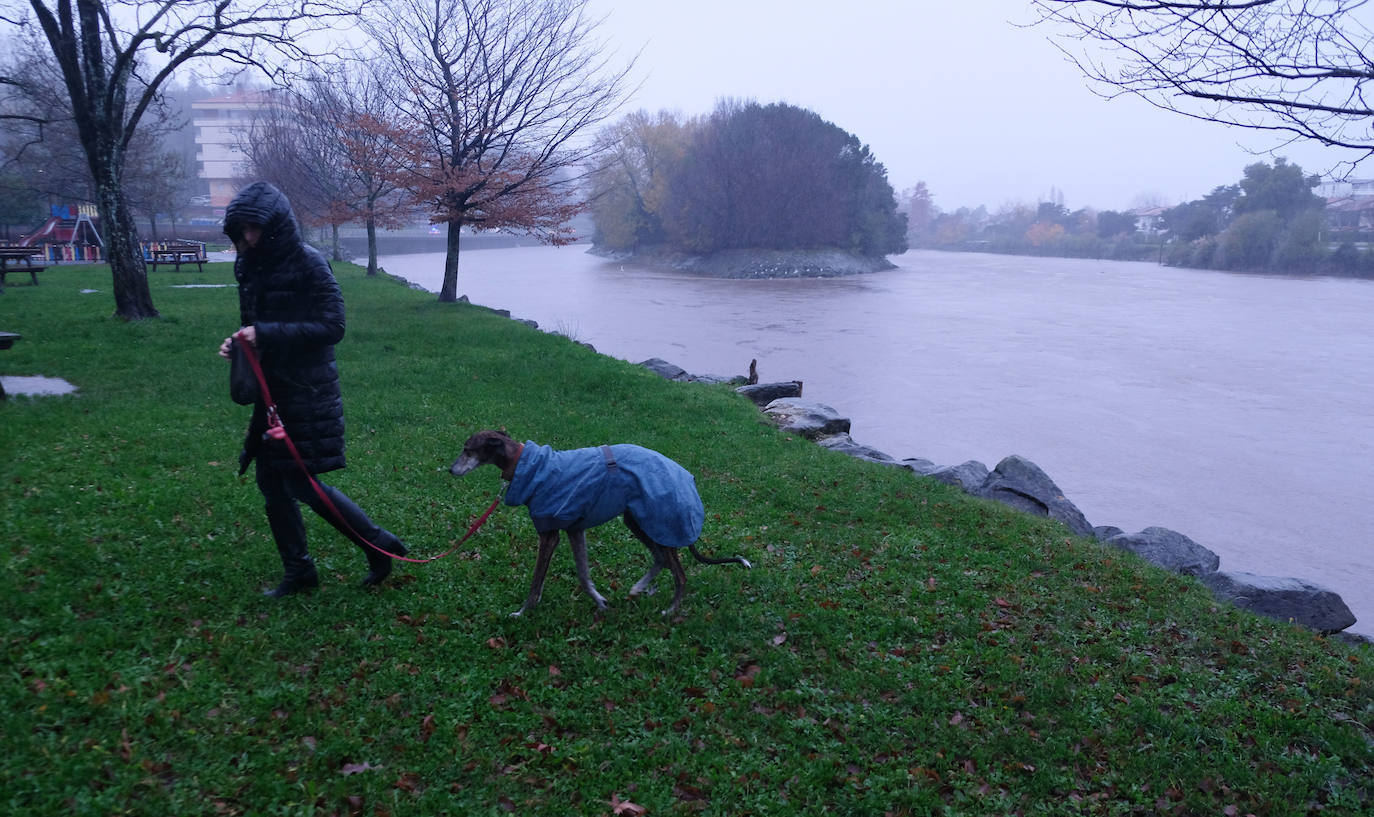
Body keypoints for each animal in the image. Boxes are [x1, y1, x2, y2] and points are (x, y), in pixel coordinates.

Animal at [450, 431, 752, 617]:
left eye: (467, 450)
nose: (450, 470)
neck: (529, 464)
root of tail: (689, 481)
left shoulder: (550, 535)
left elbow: (536, 584)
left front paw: (522, 613)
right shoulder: (575, 530)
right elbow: (584, 576)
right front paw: (602, 603)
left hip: (660, 524)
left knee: (679, 574)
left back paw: (669, 610)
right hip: (638, 521)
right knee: (660, 559)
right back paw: (639, 588)